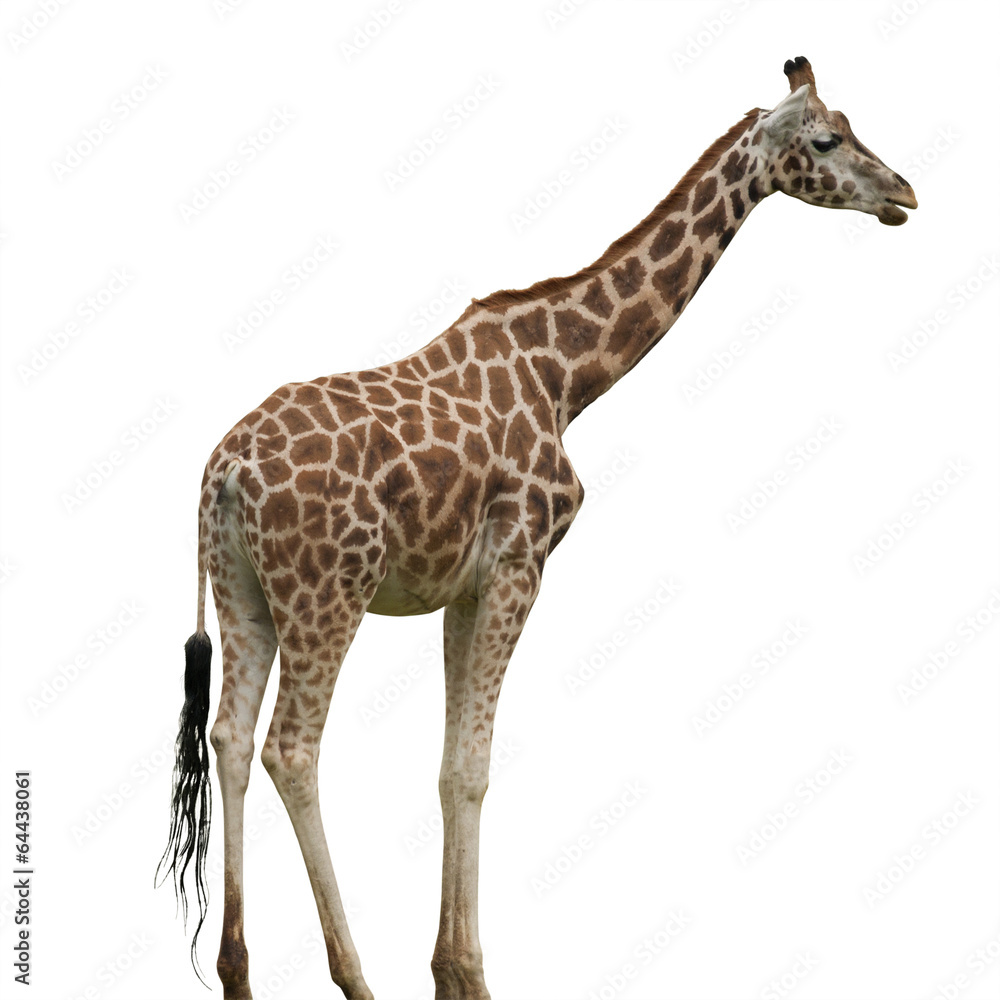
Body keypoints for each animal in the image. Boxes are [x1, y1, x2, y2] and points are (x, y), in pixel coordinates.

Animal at [158, 57, 916, 1000]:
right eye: (826, 140)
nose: (905, 193)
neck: (569, 376)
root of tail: (222, 474)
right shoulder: (521, 565)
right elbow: (475, 770)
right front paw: (470, 975)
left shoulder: (464, 586)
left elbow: (451, 768)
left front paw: (448, 972)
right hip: (328, 590)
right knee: (291, 749)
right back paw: (354, 976)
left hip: (245, 592)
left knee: (227, 738)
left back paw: (238, 973)